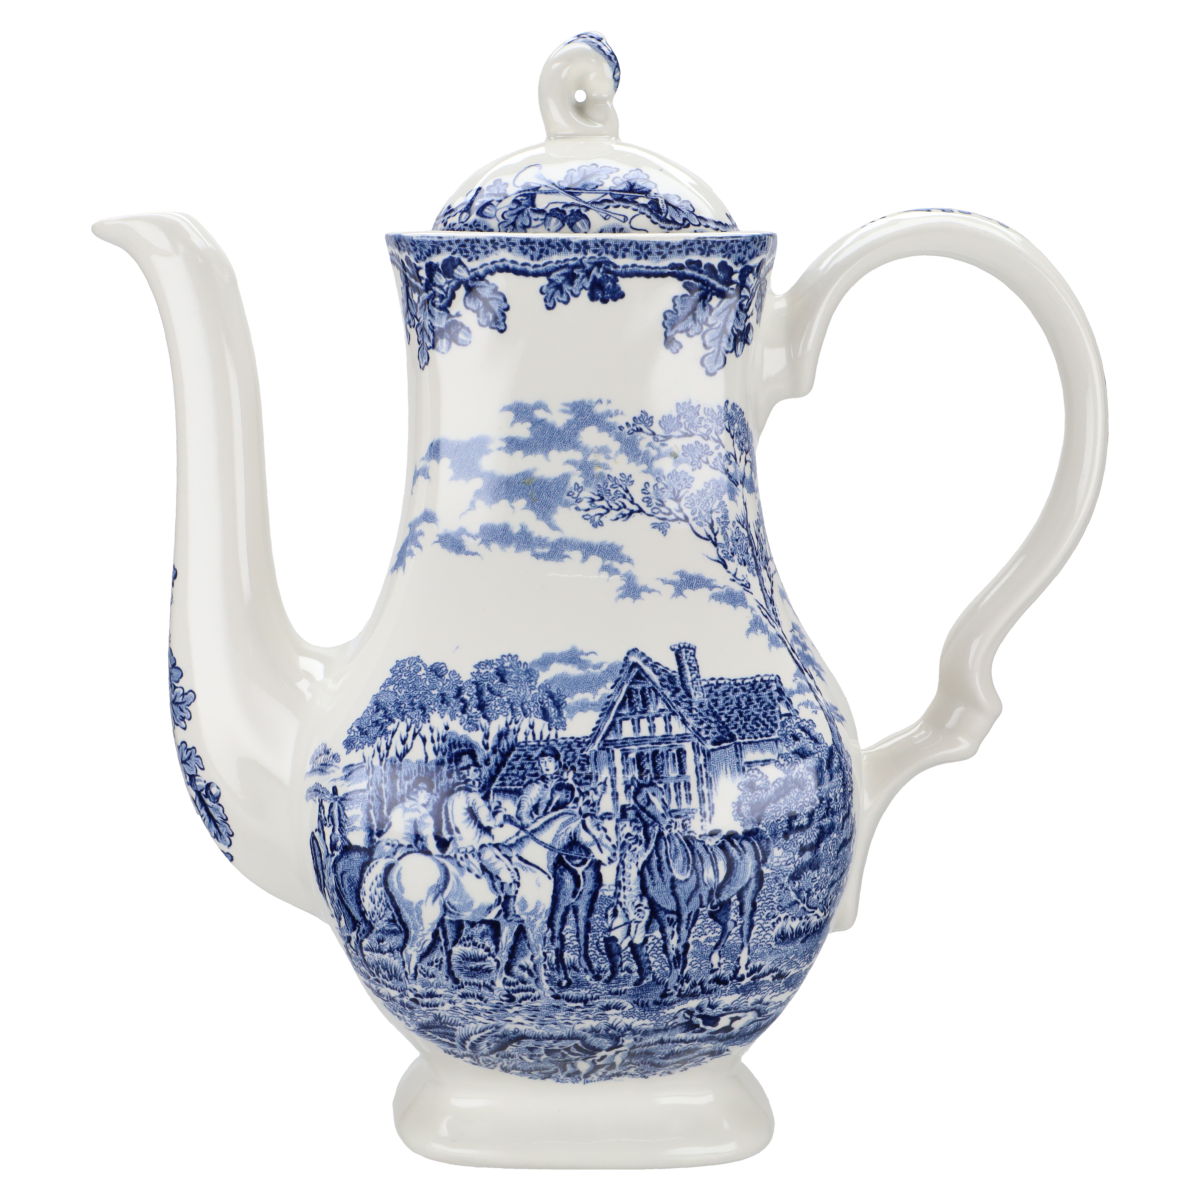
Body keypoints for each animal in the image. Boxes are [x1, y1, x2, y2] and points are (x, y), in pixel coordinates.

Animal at [366, 808, 612, 990]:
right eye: (596, 830)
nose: (610, 856)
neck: (530, 860)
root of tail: (396, 863)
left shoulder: (510, 923)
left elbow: (503, 952)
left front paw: (499, 986)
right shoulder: (535, 921)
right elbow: (538, 954)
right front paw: (544, 989)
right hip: (425, 923)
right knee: (410, 951)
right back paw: (413, 988)